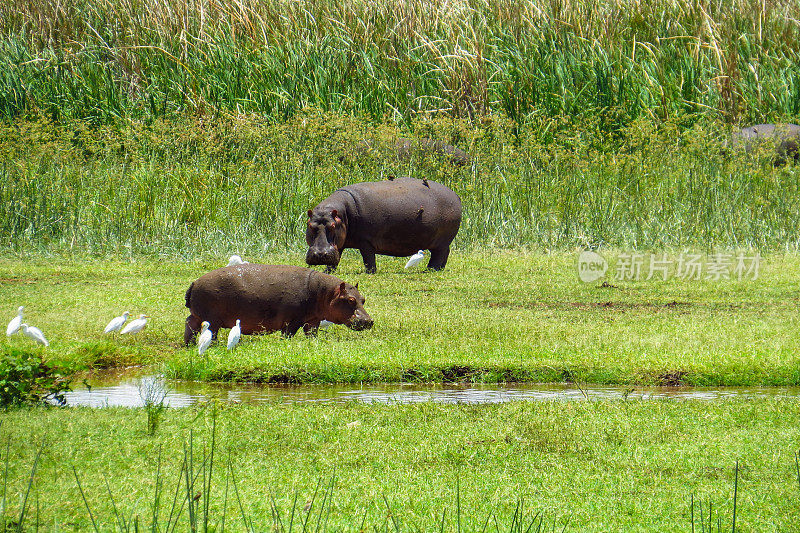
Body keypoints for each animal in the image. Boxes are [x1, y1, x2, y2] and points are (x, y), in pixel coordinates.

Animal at [184, 262, 372, 344]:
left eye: (363, 299)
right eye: (351, 300)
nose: (369, 321)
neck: (325, 292)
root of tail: (194, 282)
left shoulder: (313, 320)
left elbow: (312, 333)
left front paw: (313, 343)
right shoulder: (293, 320)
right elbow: (288, 334)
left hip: (197, 316)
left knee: (189, 324)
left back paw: (189, 344)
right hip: (212, 320)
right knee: (210, 332)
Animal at [304, 178, 462, 272]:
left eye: (332, 226)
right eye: (310, 225)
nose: (320, 254)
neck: (341, 215)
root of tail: (455, 195)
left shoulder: (365, 240)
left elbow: (368, 257)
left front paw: (370, 272)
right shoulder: (339, 242)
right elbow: (335, 259)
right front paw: (327, 272)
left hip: (441, 241)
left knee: (438, 255)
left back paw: (430, 270)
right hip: (444, 242)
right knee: (446, 252)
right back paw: (440, 269)